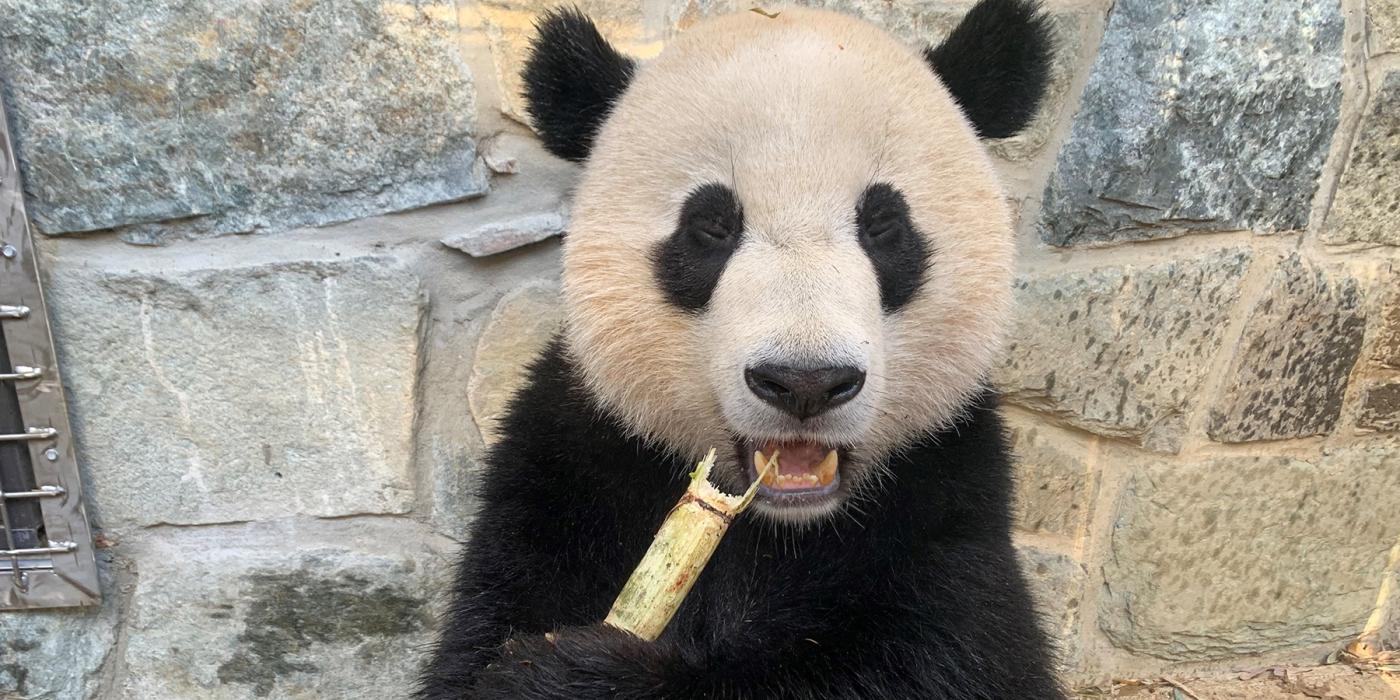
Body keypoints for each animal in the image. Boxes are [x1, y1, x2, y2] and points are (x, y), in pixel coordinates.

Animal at [422, 2, 1058, 697]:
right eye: (712, 226)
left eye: (884, 224)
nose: (805, 382)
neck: (777, 522)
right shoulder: (567, 477)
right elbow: (486, 629)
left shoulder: (945, 504)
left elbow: (935, 660)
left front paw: (575, 673)